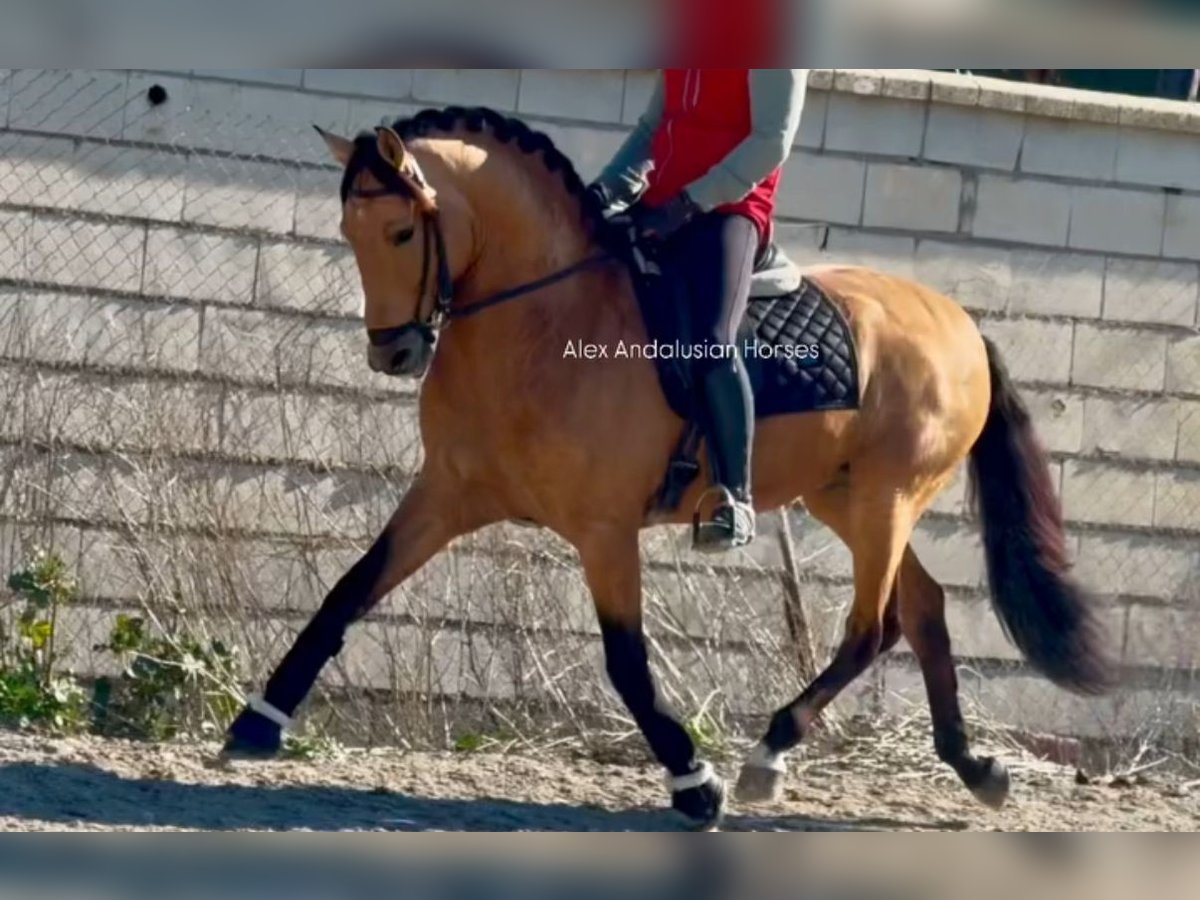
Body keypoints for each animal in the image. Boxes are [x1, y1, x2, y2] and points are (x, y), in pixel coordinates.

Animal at [220, 105, 1118, 830]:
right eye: (350, 234)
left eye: (403, 233)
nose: (394, 353)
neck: (542, 321)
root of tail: (958, 320)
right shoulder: (445, 495)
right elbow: (349, 590)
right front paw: (259, 720)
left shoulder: (604, 530)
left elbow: (625, 660)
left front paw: (695, 781)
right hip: (844, 495)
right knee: (923, 610)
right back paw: (974, 768)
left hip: (887, 497)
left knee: (872, 628)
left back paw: (767, 756)